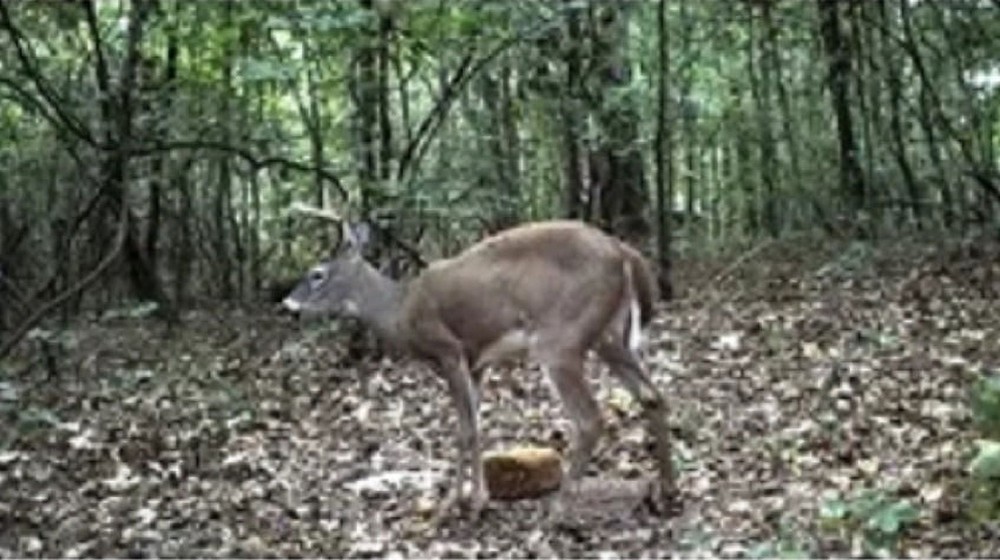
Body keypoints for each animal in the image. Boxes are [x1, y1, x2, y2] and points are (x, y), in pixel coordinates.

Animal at [281, 203, 677, 521]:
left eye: (317, 274)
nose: (287, 304)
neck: (400, 312)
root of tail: (625, 253)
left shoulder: (448, 350)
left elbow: (464, 430)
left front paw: (455, 505)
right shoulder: (478, 362)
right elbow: (478, 426)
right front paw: (479, 498)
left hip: (561, 339)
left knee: (590, 418)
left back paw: (557, 510)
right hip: (610, 336)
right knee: (653, 396)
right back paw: (667, 492)